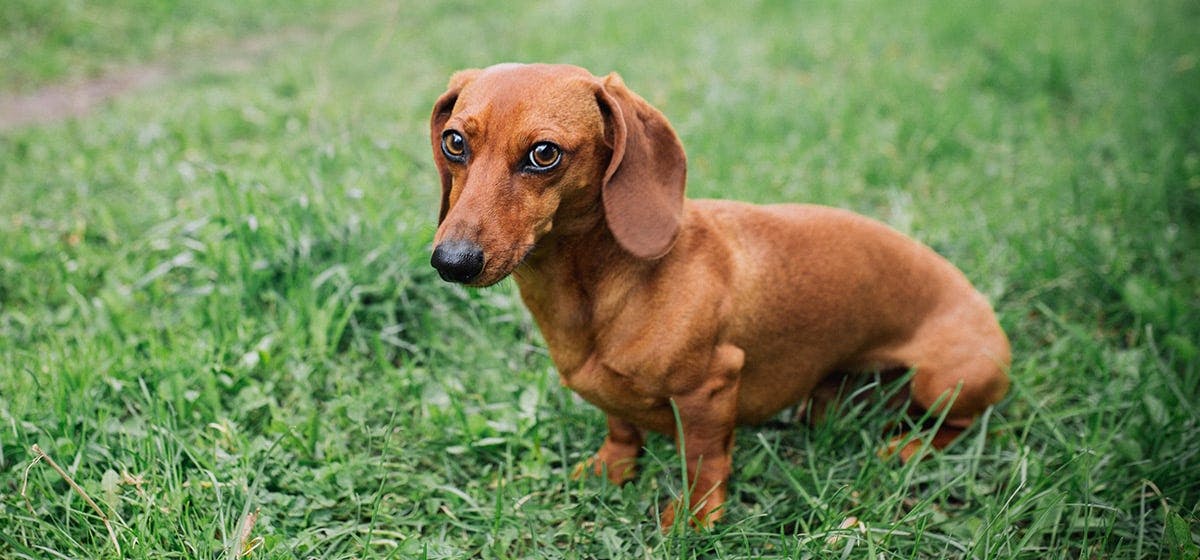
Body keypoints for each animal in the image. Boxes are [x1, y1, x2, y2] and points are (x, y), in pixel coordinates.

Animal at [427, 63, 1008, 527]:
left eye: (544, 153)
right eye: (454, 142)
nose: (451, 262)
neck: (604, 288)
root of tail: (981, 303)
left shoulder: (710, 388)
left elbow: (704, 463)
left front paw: (694, 518)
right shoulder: (614, 400)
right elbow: (621, 426)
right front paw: (612, 470)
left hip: (945, 382)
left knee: (957, 424)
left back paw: (908, 446)